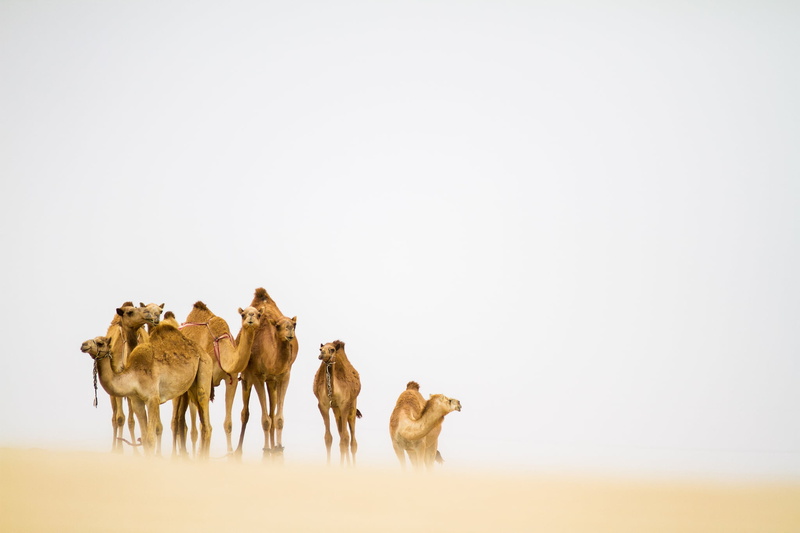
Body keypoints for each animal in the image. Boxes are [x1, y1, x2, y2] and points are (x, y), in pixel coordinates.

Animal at [80, 316, 214, 458]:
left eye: (100, 343)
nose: (83, 345)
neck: (134, 375)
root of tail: (203, 352)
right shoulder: (136, 401)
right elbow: (144, 438)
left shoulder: (153, 399)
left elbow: (150, 438)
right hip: (190, 386)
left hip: (204, 370)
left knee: (206, 422)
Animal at [174, 301, 262, 455]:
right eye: (243, 314)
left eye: (259, 314)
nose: (250, 318)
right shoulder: (206, 381)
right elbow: (205, 425)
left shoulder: (232, 379)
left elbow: (227, 424)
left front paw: (229, 453)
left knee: (181, 419)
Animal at [237, 287, 298, 458]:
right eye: (277, 326)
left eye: (294, 324)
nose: (290, 332)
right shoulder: (257, 376)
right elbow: (265, 420)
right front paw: (265, 449)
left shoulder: (284, 375)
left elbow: (278, 418)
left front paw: (279, 447)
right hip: (247, 377)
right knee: (245, 413)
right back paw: (238, 451)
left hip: (272, 382)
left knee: (272, 413)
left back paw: (273, 446)